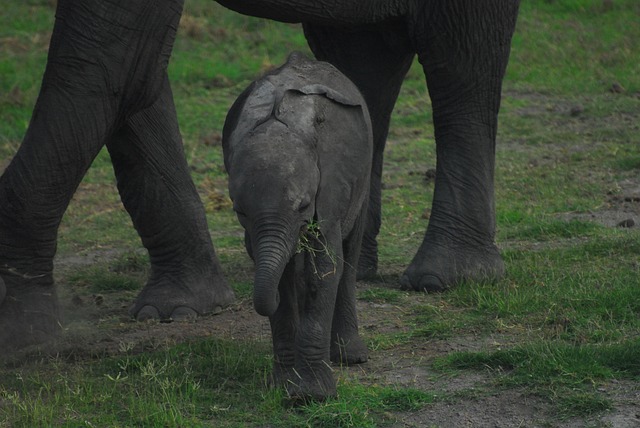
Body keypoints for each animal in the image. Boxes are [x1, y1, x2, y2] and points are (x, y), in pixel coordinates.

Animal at [0, 0, 520, 352]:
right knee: (362, 55)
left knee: (461, 59)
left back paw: (446, 279)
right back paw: (365, 266)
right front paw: (174, 312)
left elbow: (113, 63)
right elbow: (136, 73)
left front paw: (24, 339)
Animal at [225, 52, 376, 402]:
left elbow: (325, 266)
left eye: (304, 205)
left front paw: (313, 396)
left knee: (349, 255)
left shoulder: (331, 184)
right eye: (239, 210)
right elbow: (279, 273)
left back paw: (350, 357)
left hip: (364, 173)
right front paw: (284, 386)